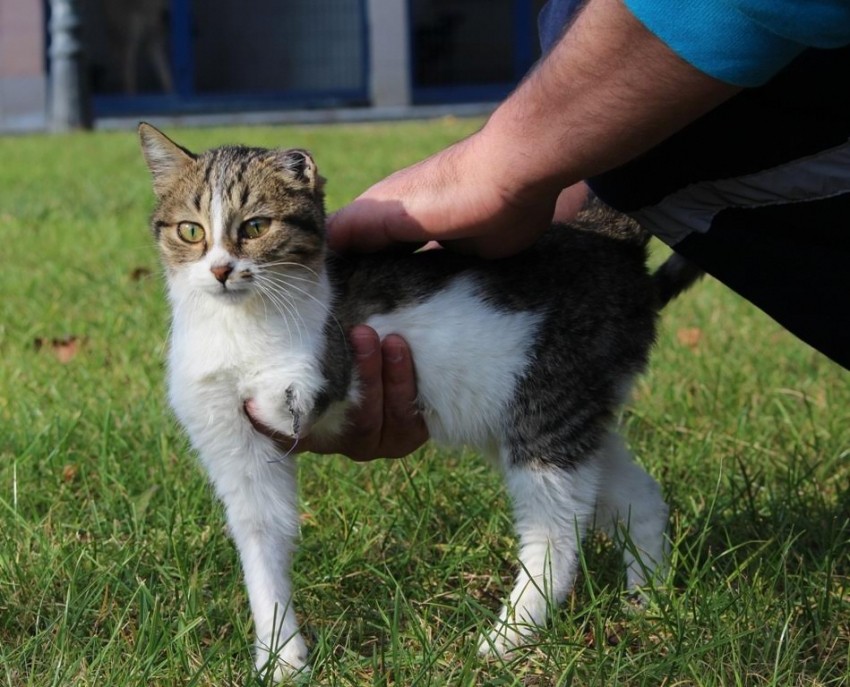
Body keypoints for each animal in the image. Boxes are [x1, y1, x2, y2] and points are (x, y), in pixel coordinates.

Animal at [139, 123, 692, 684]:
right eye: (191, 231)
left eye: (255, 226)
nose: (221, 270)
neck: (238, 325)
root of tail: (608, 239)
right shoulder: (232, 449)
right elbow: (261, 542)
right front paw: (281, 657)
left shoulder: (329, 358)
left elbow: (297, 387)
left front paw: (287, 383)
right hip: (558, 408)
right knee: (637, 496)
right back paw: (647, 599)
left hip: (547, 411)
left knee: (558, 529)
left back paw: (508, 637)